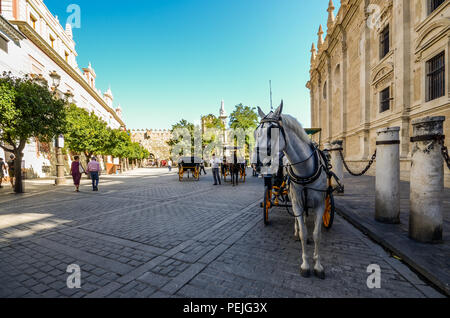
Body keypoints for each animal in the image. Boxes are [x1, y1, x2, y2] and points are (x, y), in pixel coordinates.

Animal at [256, 102, 326, 278]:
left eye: (271, 131)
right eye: (257, 132)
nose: (255, 164)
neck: (305, 169)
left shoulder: (321, 204)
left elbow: (317, 234)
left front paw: (318, 265)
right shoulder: (297, 202)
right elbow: (303, 233)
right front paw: (305, 264)